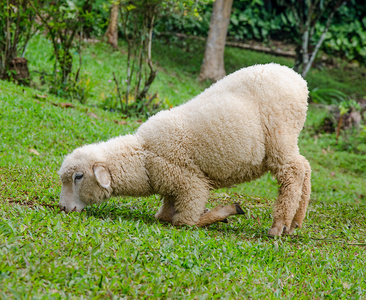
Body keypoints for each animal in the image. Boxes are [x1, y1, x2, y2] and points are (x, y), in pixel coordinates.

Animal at [59, 63, 312, 237]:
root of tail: (300, 81)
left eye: (78, 177)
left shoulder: (191, 183)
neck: (144, 157)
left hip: (280, 135)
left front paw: (225, 213)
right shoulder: (172, 187)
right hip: (288, 139)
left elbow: (184, 221)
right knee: (305, 166)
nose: (62, 207)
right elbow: (164, 216)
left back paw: (279, 225)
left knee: (293, 172)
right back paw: (295, 222)